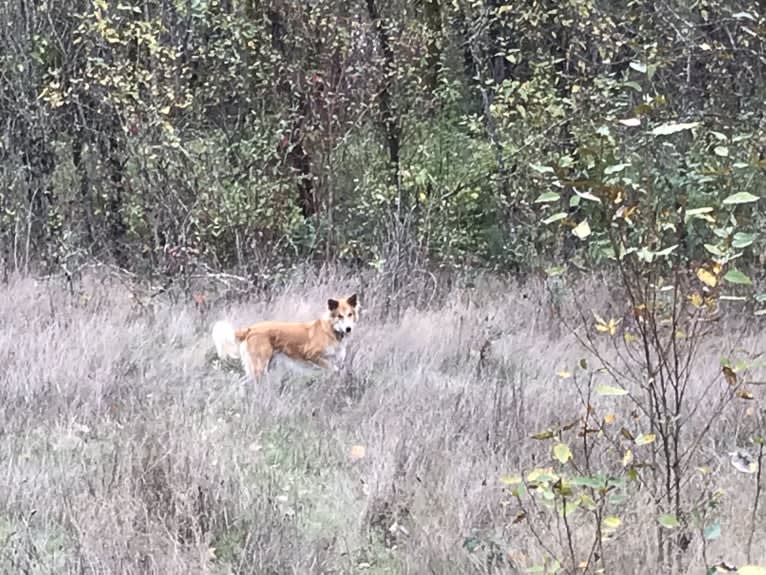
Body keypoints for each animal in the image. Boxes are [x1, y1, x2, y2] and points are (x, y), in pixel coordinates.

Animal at [213, 294, 360, 380]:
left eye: (350, 314)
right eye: (339, 316)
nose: (348, 329)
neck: (331, 330)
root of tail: (251, 329)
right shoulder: (312, 355)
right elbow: (332, 368)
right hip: (259, 367)